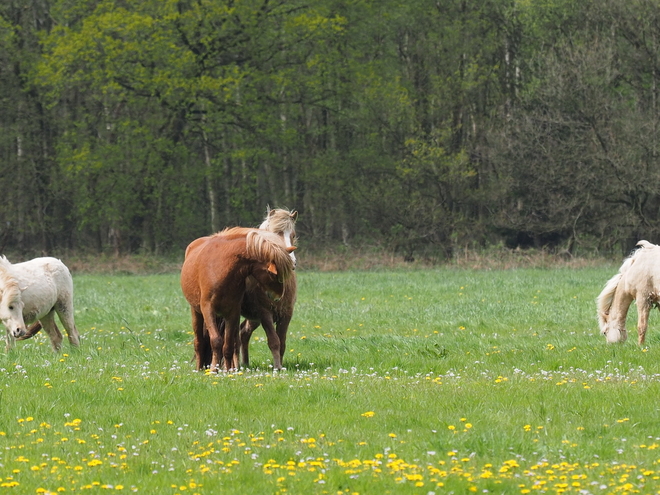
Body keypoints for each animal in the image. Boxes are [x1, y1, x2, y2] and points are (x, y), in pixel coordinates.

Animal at [180, 229, 294, 372]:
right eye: (275, 275)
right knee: (199, 342)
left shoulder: (232, 312)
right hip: (196, 312)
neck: (222, 268)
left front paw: (228, 370)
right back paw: (199, 368)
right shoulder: (208, 309)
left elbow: (228, 345)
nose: (278, 297)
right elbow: (216, 341)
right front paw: (214, 369)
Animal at [235, 207, 300, 370]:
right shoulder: (265, 314)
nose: (292, 262)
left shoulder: (286, 313)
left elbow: (282, 342)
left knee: (243, 332)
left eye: (293, 235)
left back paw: (245, 363)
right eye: (275, 234)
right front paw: (277, 367)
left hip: (253, 318)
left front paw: (281, 365)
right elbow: (274, 341)